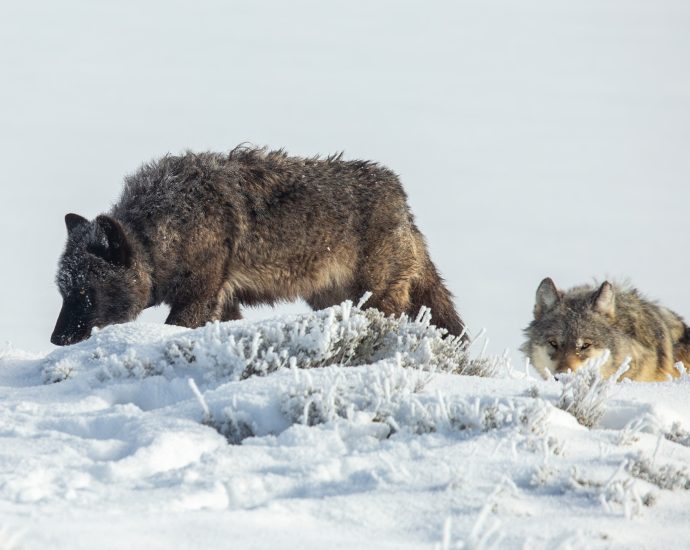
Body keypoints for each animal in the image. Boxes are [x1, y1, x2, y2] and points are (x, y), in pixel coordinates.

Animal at [51, 146, 467, 346]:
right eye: (64, 292)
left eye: (86, 293)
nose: (57, 340)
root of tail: (403, 201)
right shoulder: (222, 303)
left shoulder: (197, 299)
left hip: (374, 300)